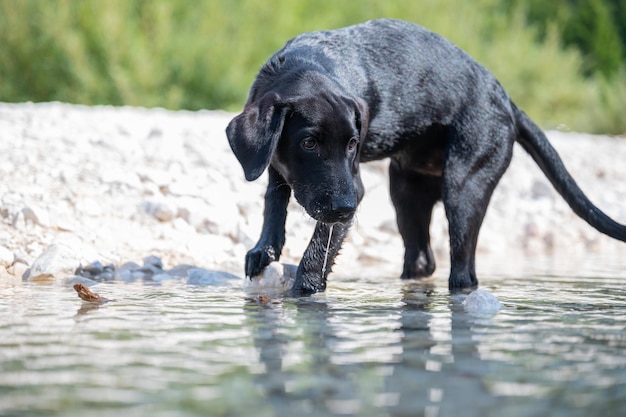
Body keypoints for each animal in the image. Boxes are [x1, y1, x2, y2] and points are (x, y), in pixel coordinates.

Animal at [225, 18, 624, 292]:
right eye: (309, 143)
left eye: (353, 144)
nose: (346, 208)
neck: (301, 66)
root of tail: (507, 101)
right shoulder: (278, 166)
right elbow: (274, 201)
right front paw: (264, 249)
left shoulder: (351, 187)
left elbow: (319, 246)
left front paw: (306, 288)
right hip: (405, 192)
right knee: (421, 259)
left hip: (463, 191)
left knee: (463, 273)